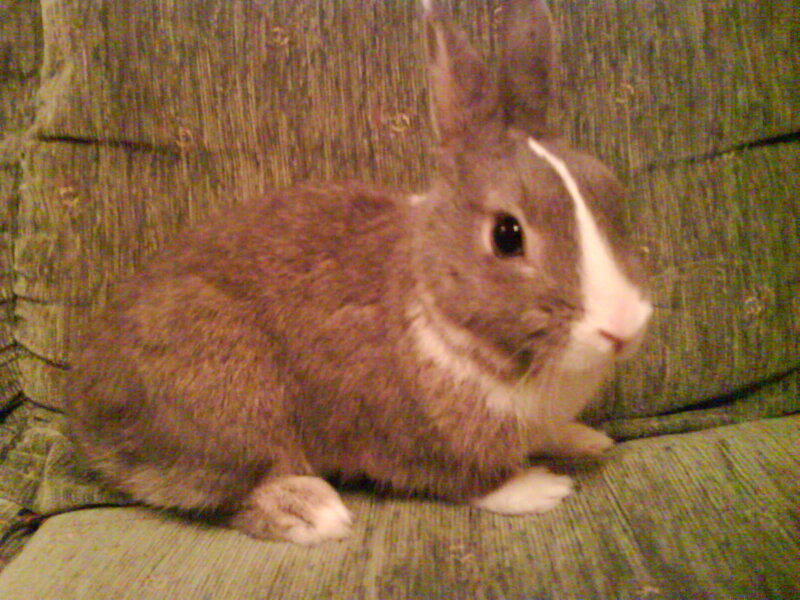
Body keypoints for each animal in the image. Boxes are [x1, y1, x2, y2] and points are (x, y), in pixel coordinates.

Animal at [66, 0, 652, 546]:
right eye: (507, 235)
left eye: (613, 193)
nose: (623, 328)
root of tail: (89, 415)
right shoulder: (409, 437)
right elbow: (466, 480)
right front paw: (538, 488)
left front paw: (586, 439)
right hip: (228, 400)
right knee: (227, 493)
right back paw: (312, 513)